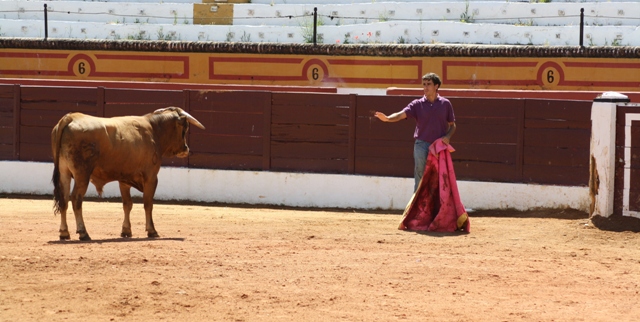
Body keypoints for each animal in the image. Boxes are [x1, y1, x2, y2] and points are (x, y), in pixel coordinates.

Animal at [50, 107, 205, 240]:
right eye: (185, 128)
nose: (186, 149)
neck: (154, 130)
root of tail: (70, 117)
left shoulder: (124, 180)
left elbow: (127, 204)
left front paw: (126, 231)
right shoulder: (151, 177)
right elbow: (148, 203)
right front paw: (152, 231)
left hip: (64, 173)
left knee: (63, 199)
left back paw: (64, 233)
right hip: (82, 174)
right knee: (76, 199)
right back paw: (83, 233)